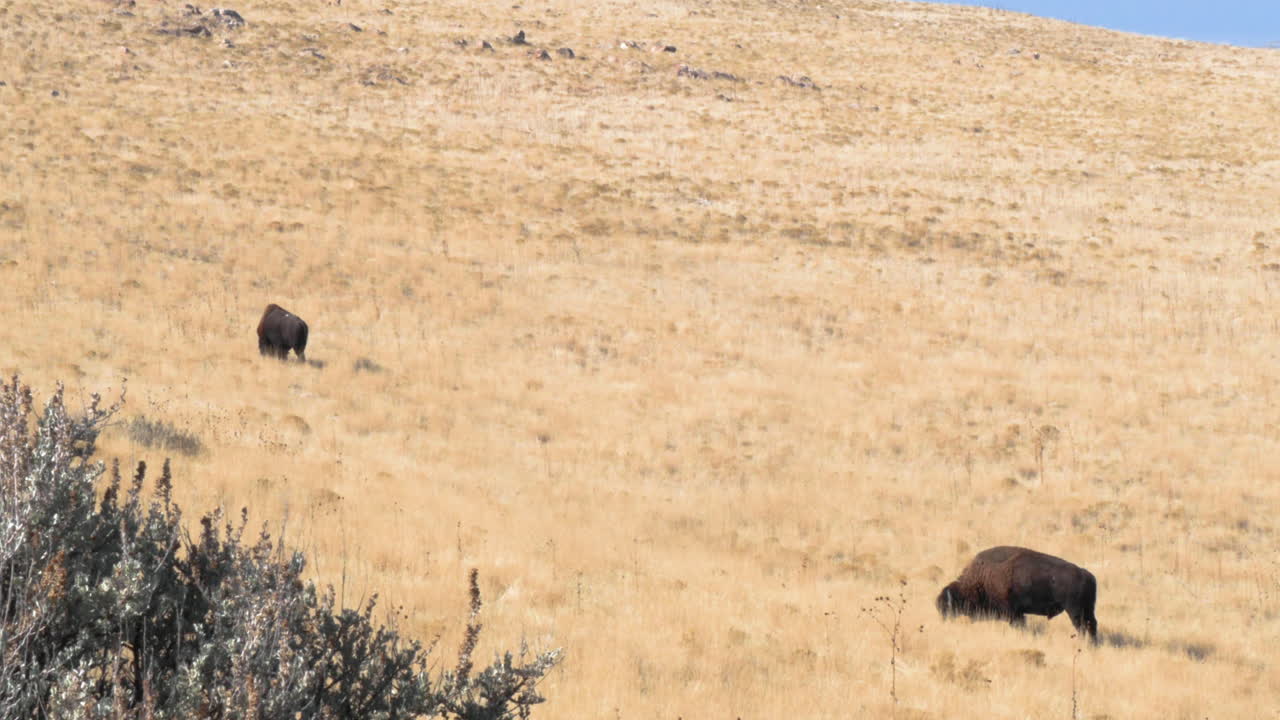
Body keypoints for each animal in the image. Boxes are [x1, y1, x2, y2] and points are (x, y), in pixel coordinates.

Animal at [937, 546, 1098, 643]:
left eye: (948, 608)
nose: (944, 623)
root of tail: (1086, 574)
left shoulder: (1013, 613)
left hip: (1075, 611)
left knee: (1082, 626)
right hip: (1088, 609)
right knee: (1092, 625)